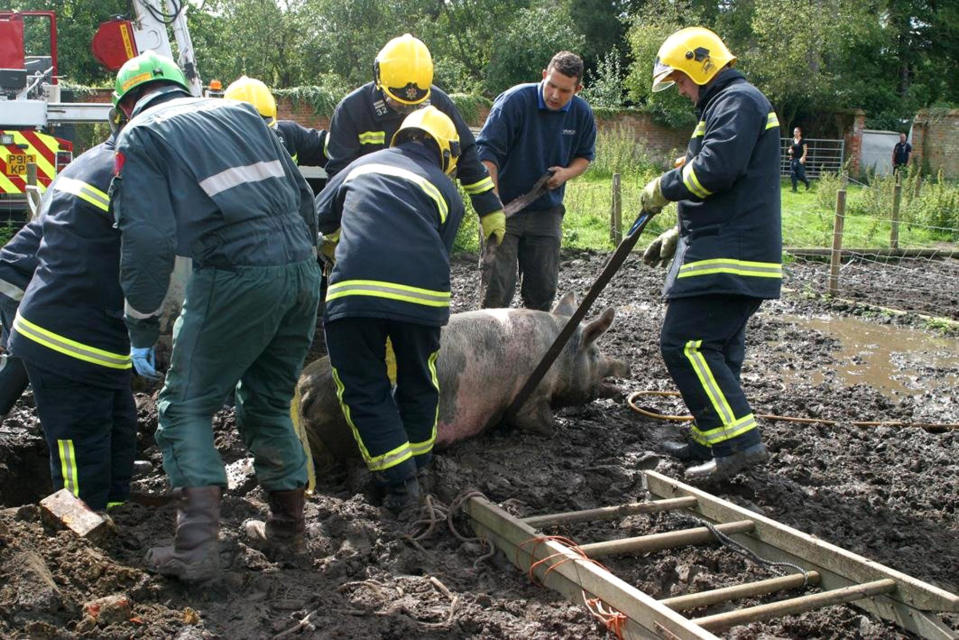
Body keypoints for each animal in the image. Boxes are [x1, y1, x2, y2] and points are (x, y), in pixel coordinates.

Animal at [300, 292, 632, 468]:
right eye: (595, 353)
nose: (627, 367)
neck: (557, 352)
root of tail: (305, 387)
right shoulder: (531, 397)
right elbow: (542, 424)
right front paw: (560, 431)